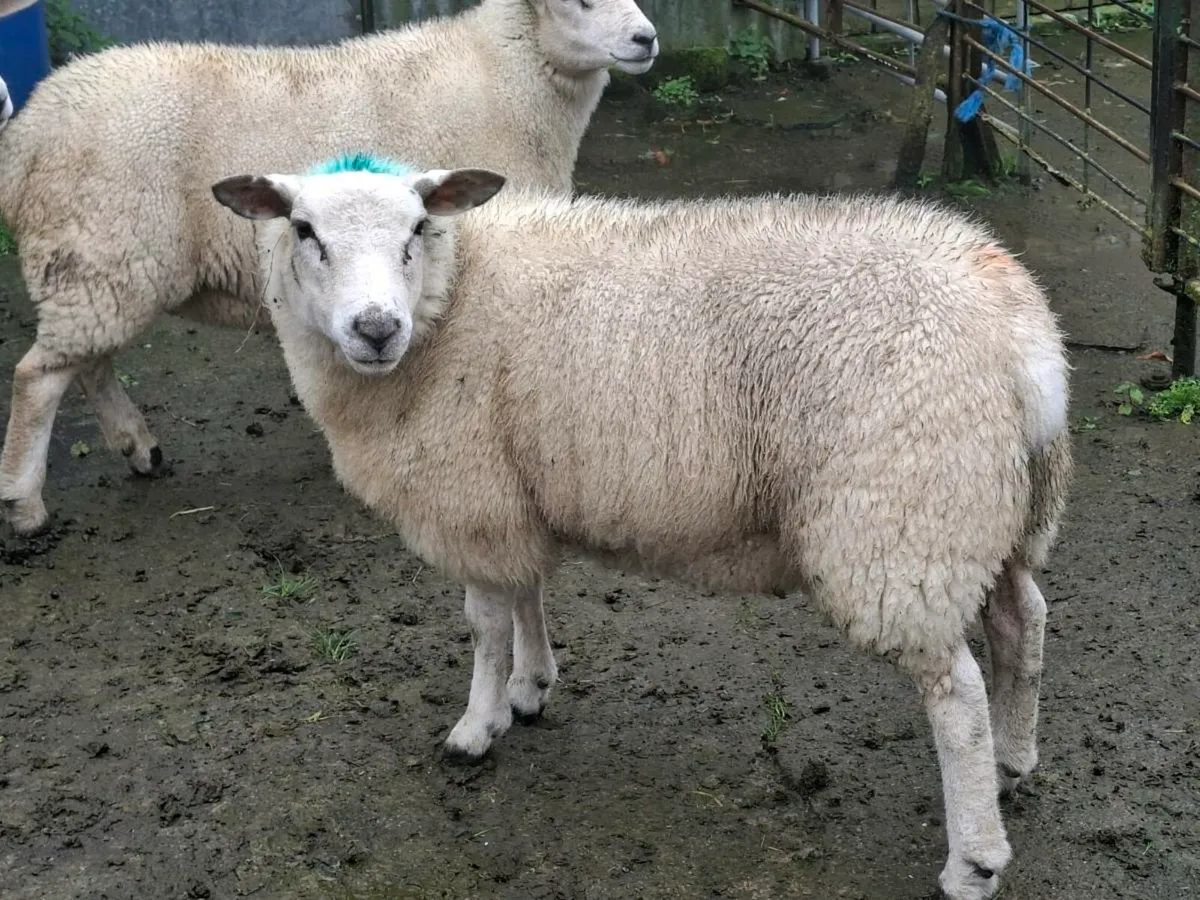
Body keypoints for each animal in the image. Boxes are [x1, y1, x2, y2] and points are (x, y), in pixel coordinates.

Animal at [0, 0, 658, 536]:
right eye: (579, 0)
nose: (647, 38)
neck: (504, 75)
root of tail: (28, 130)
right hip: (101, 251)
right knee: (38, 377)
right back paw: (25, 505)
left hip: (95, 267)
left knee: (86, 363)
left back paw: (139, 448)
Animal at [210, 158, 1073, 900]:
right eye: (303, 230)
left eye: (418, 227)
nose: (375, 328)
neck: (453, 297)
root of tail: (1026, 336)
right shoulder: (516, 493)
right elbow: (527, 596)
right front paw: (532, 687)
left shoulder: (471, 499)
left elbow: (485, 623)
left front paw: (476, 727)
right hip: (992, 507)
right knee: (1022, 622)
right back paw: (1014, 759)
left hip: (903, 513)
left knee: (955, 692)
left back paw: (974, 859)